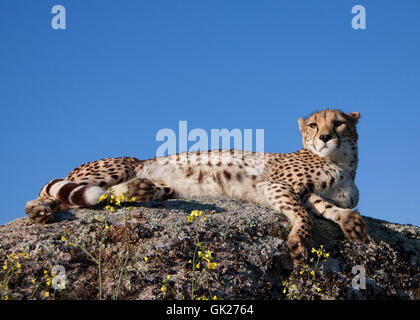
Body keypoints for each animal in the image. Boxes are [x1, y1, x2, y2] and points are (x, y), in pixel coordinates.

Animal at [25, 109, 368, 264]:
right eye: (314, 125)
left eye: (339, 123)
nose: (325, 137)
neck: (343, 164)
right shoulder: (275, 184)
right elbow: (302, 213)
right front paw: (299, 239)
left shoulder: (305, 192)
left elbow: (323, 206)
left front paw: (349, 221)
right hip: (116, 166)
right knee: (54, 193)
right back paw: (38, 209)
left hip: (162, 189)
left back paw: (137, 190)